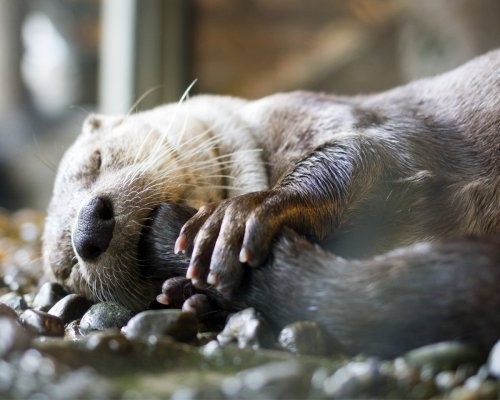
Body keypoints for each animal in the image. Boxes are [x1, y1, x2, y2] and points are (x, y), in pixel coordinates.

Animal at [42, 49, 500, 356]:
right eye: (69, 267)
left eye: (98, 159)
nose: (88, 227)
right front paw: (192, 294)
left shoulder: (356, 120)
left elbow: (369, 152)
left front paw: (242, 215)